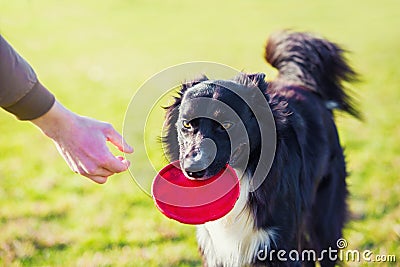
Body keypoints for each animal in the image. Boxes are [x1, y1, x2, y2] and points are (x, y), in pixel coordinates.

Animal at [162, 30, 360, 266]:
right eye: (186, 124)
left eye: (227, 124)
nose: (193, 170)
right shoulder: (215, 250)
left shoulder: (282, 244)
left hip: (324, 220)